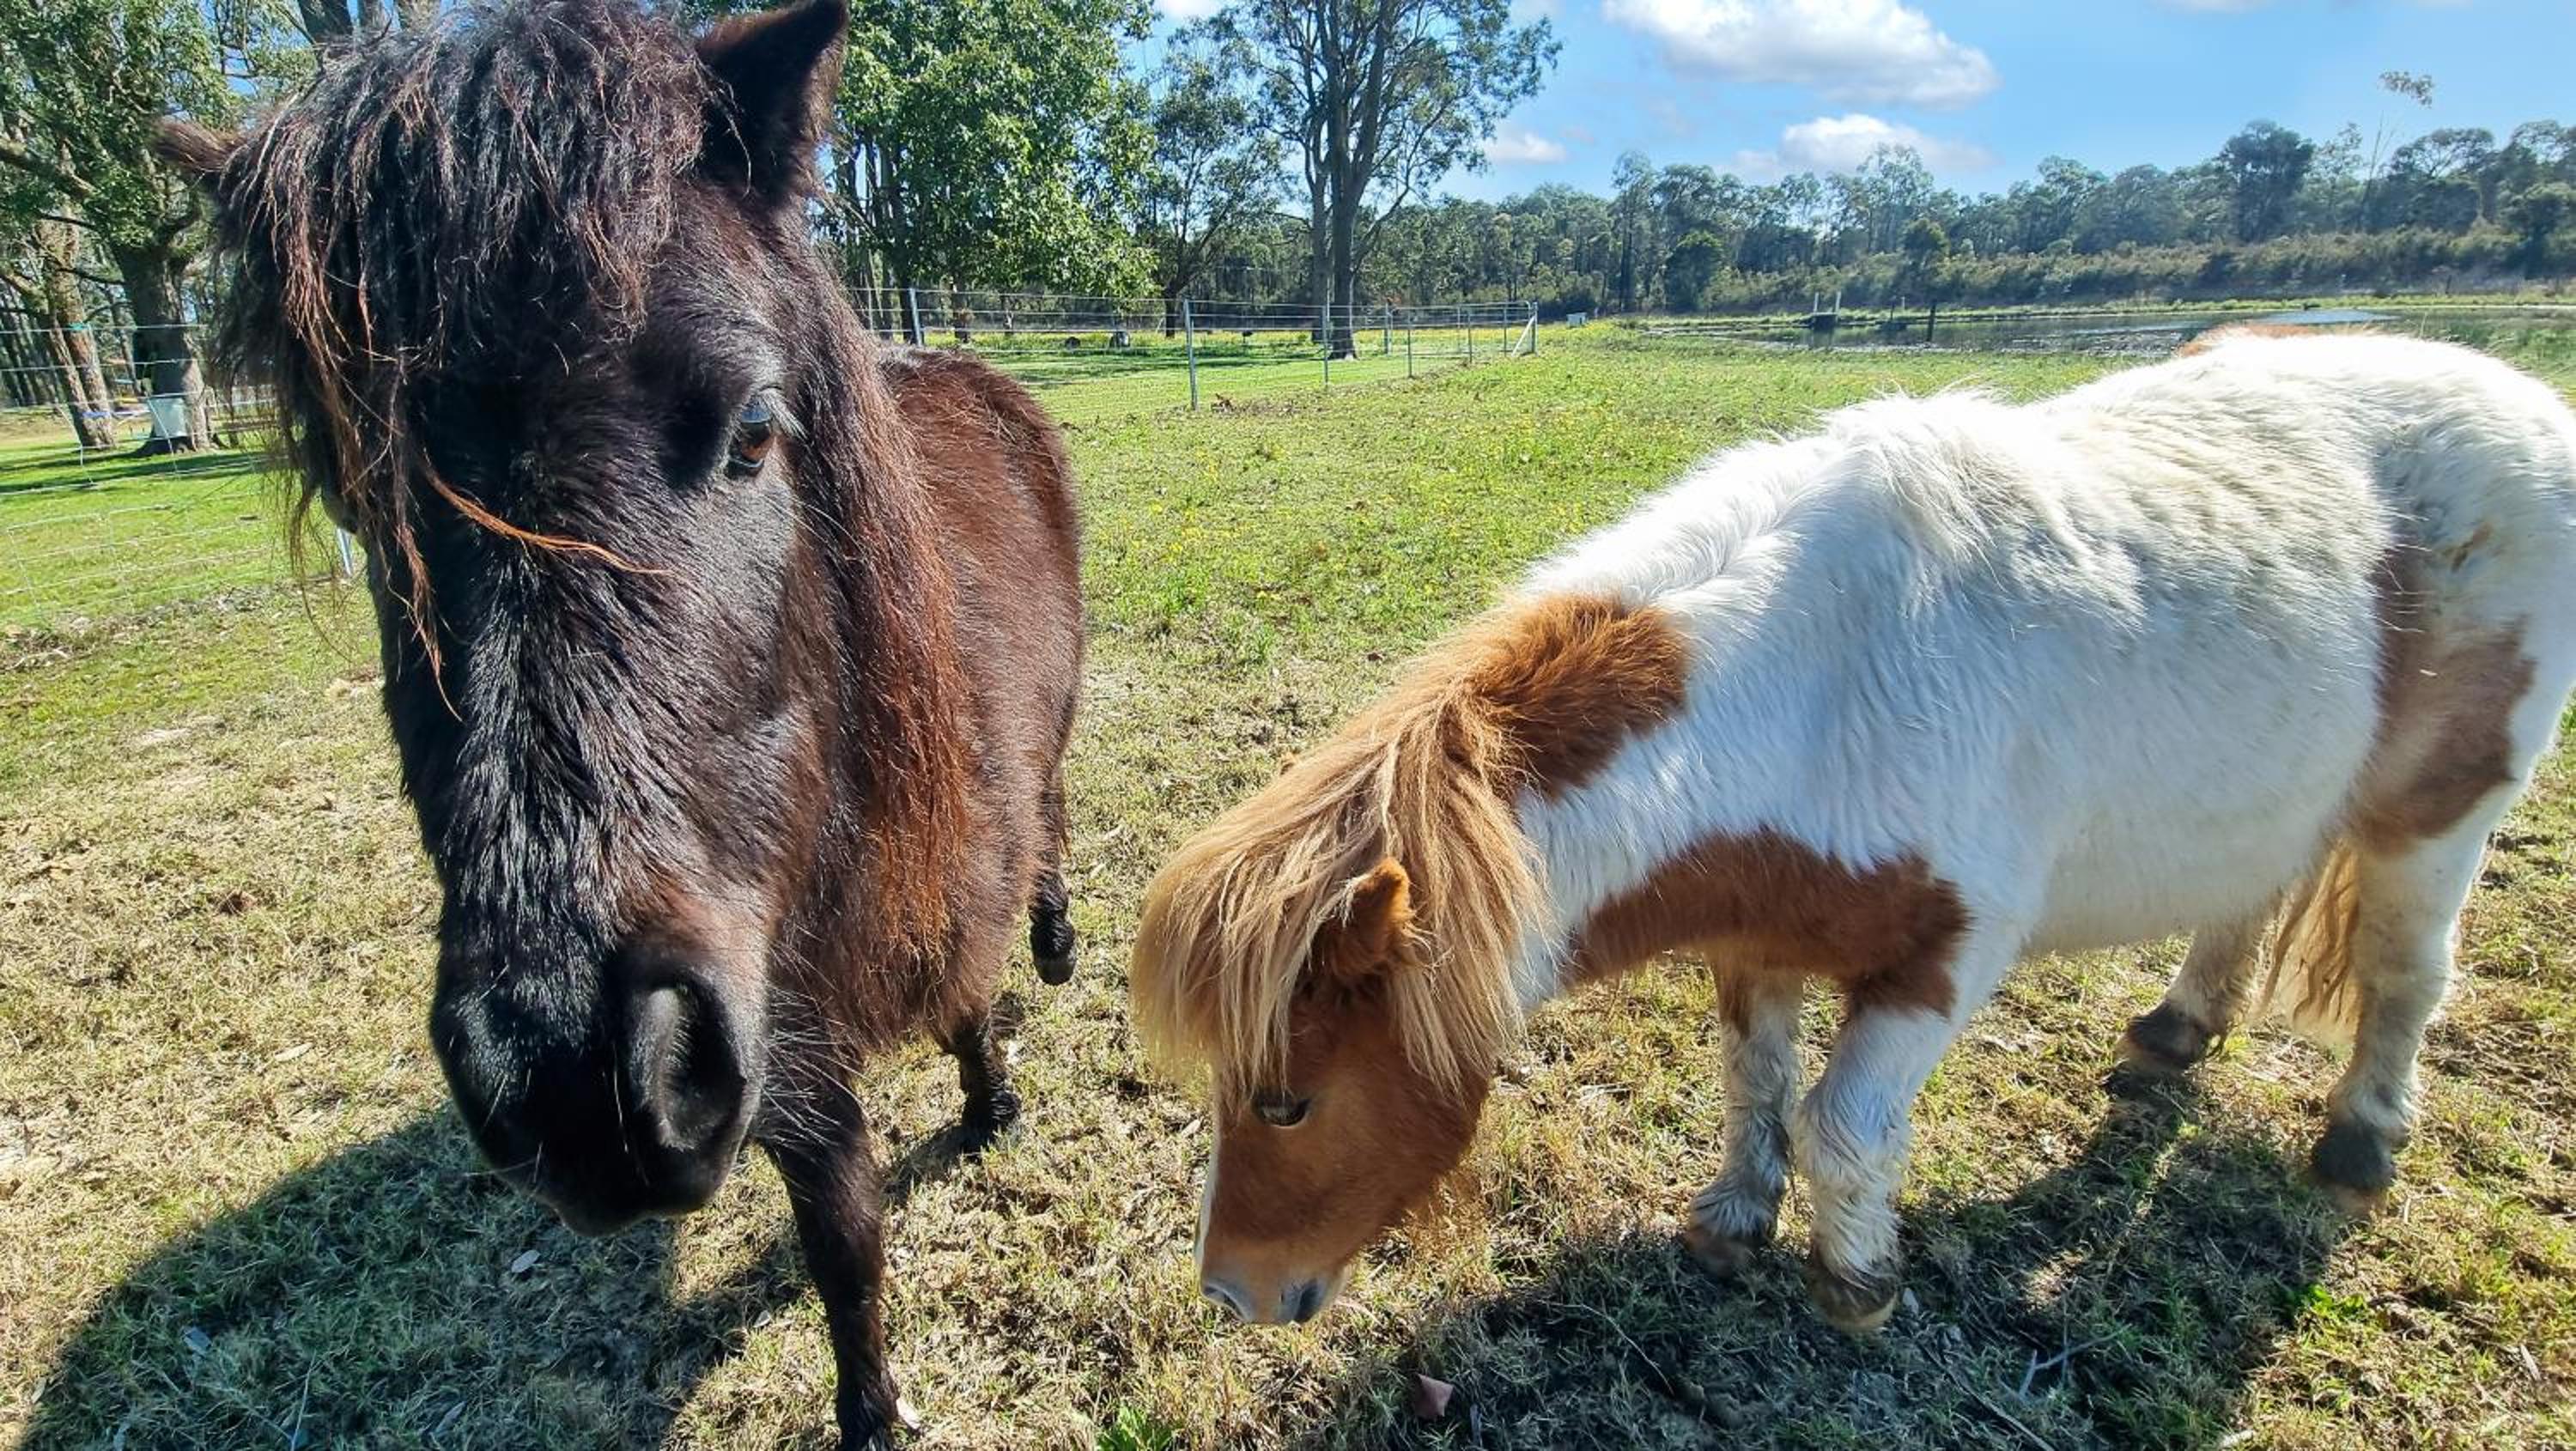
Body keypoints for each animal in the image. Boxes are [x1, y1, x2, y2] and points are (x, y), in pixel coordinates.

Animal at [157, 1, 1081, 1443]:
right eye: (363, 500)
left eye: (754, 426)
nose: (571, 1075)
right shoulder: (781, 1044)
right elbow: (844, 1234)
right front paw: (872, 1403)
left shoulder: (934, 888)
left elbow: (969, 999)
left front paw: (994, 1100)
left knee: (1055, 817)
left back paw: (1061, 937)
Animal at [1134, 330, 2576, 1332]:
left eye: (1289, 1097)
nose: (1230, 1293)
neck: (1819, 688)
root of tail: (2527, 403)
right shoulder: (1754, 934)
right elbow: (1756, 1082)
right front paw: (1733, 1218)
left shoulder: (1944, 959)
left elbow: (1842, 1121)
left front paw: (1859, 1280)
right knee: (2247, 896)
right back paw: (2177, 1028)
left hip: (2443, 817)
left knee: (2406, 973)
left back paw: (2363, 1134)